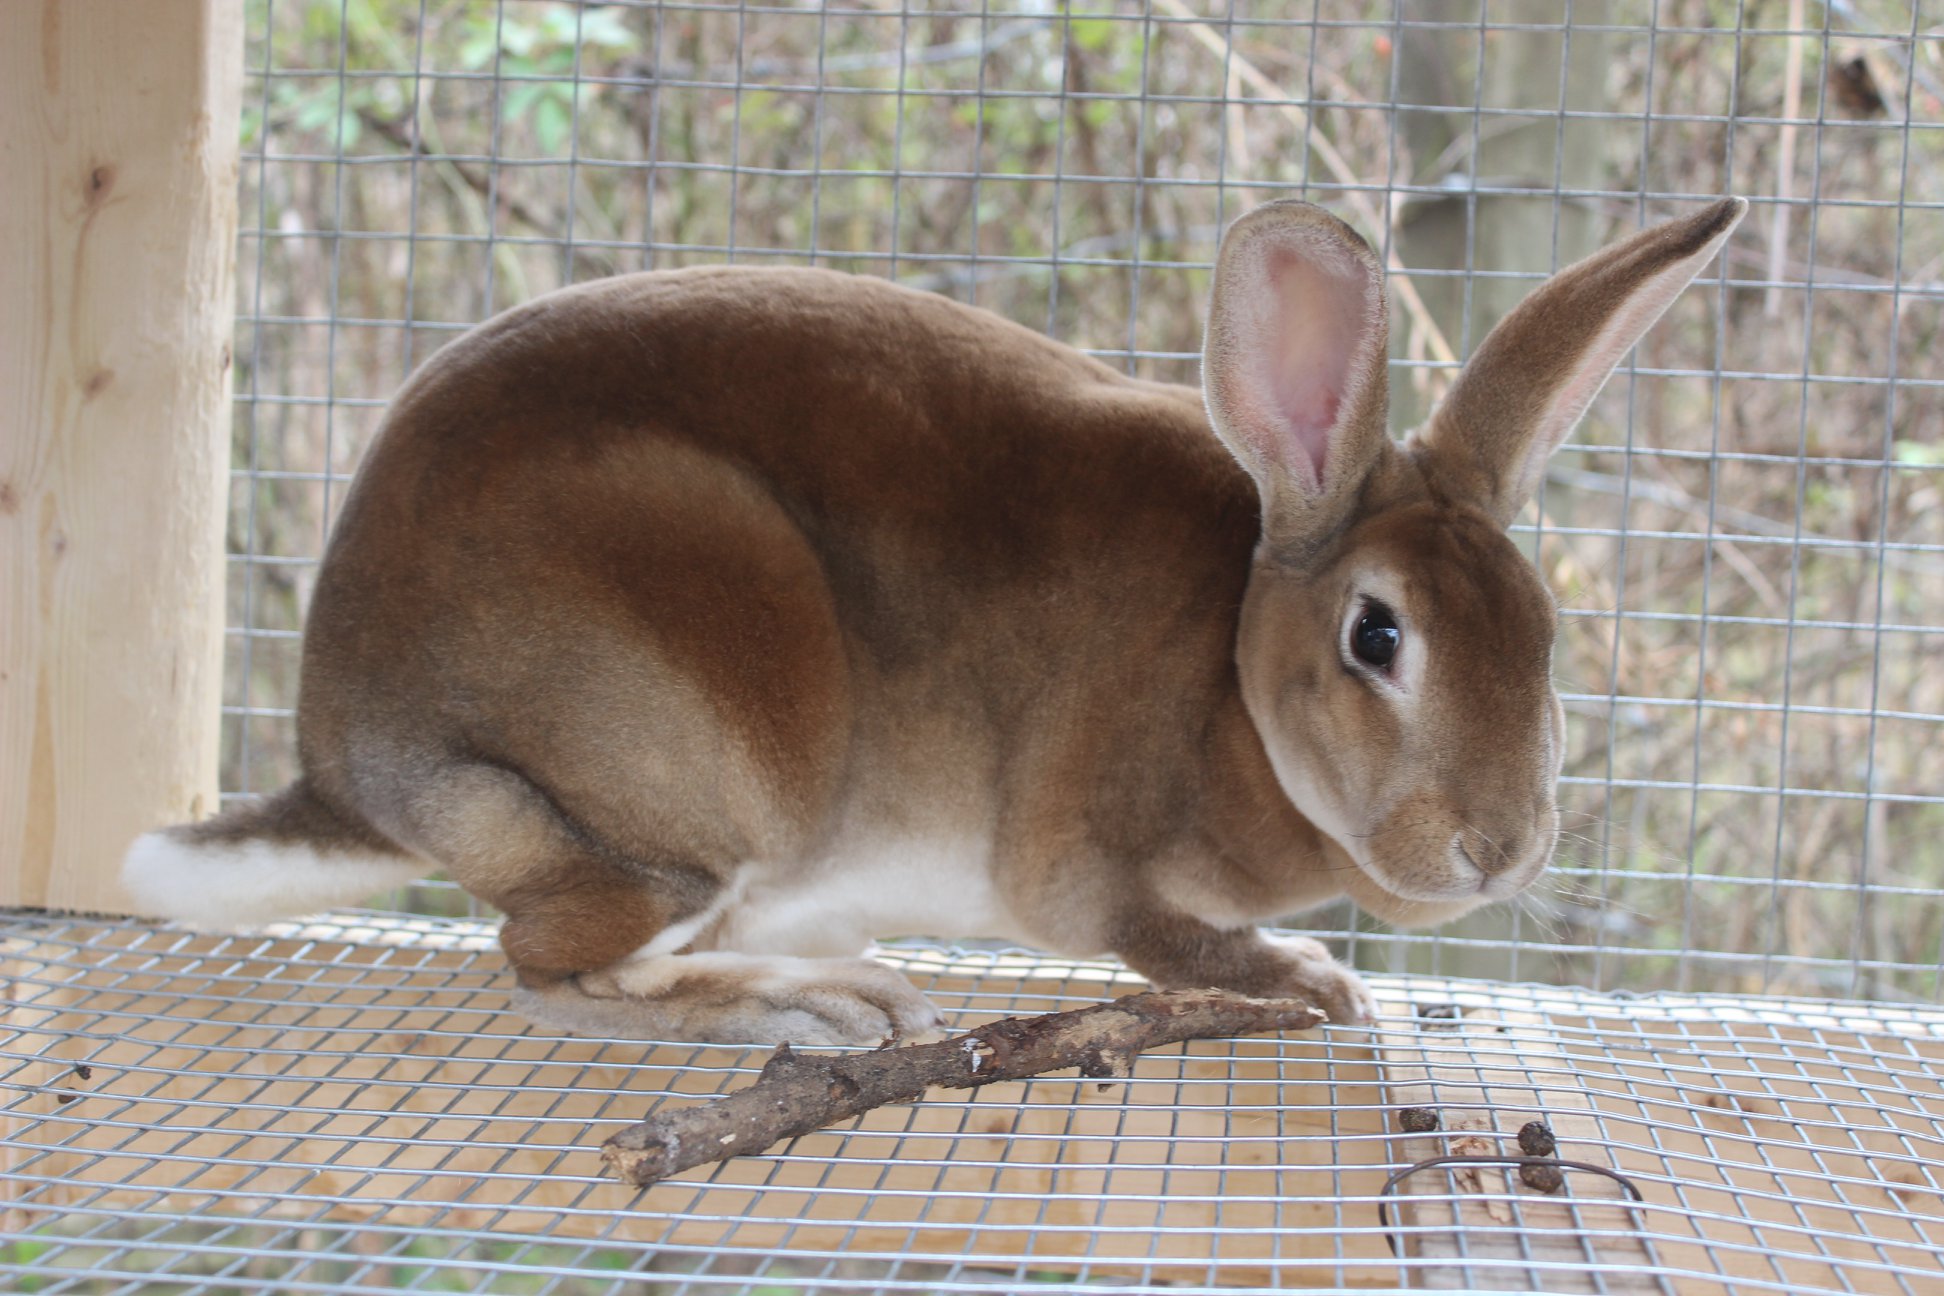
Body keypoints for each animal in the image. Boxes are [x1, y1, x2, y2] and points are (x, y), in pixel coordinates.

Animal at [123, 196, 1746, 1045]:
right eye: (1378, 639)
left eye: (1545, 636)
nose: (1501, 850)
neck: (1232, 675)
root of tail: (345, 759)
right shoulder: (1084, 863)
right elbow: (1159, 940)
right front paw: (1311, 981)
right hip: (690, 785)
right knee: (558, 964)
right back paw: (814, 1007)